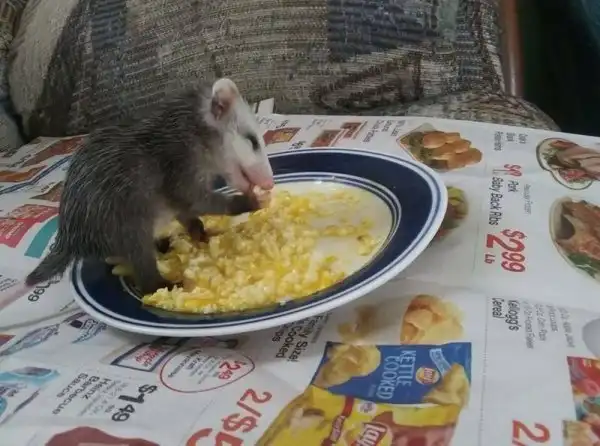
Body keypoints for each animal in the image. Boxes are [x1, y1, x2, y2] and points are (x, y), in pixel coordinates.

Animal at [26, 78, 274, 294]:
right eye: (252, 141)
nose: (269, 183)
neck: (191, 130)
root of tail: (71, 236)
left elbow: (185, 211)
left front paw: (202, 232)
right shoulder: (178, 163)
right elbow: (195, 199)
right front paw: (250, 201)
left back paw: (165, 244)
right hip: (124, 223)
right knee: (143, 267)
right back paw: (167, 285)